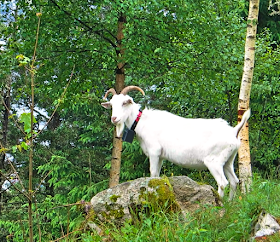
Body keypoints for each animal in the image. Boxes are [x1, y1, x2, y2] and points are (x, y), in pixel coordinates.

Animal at [101, 86, 250, 199]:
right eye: (112, 104)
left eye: (124, 103)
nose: (114, 118)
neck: (143, 122)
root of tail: (233, 132)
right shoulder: (160, 156)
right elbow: (157, 175)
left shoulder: (154, 152)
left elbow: (152, 173)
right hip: (228, 161)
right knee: (234, 181)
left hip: (214, 162)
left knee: (223, 183)